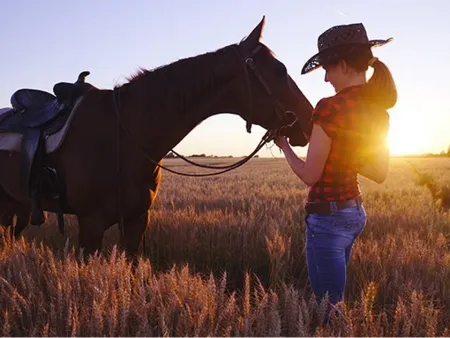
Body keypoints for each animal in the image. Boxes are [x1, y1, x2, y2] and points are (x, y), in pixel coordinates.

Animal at [0, 17, 312, 256]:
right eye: (280, 70)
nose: (309, 120)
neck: (126, 134)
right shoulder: (91, 225)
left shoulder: (136, 221)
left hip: (18, 206)